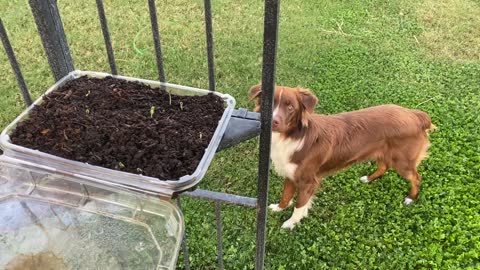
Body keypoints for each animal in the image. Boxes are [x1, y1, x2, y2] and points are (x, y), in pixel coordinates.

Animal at [251, 83, 436, 229]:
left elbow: (299, 205)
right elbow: (286, 195)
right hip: (382, 152)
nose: (274, 121)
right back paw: (368, 179)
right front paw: (278, 208)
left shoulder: (308, 181)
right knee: (384, 166)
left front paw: (291, 224)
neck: (293, 136)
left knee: (416, 177)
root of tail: (416, 116)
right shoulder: (290, 174)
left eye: (290, 107)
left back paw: (411, 198)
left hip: (402, 162)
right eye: (269, 103)